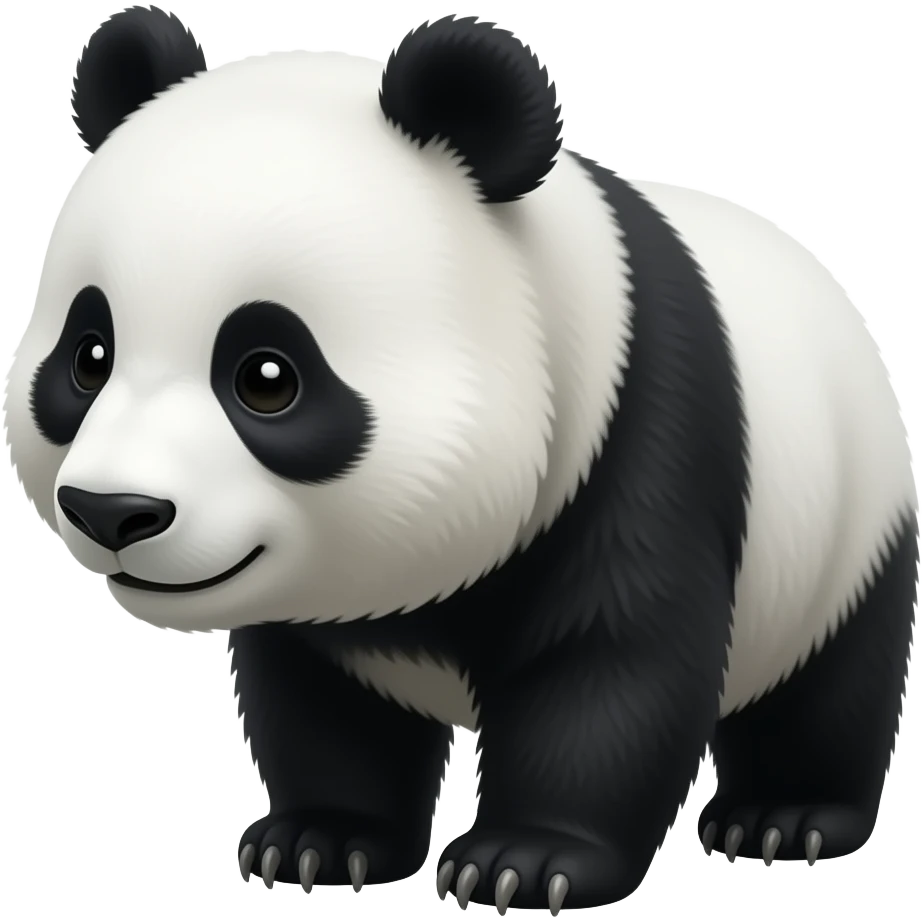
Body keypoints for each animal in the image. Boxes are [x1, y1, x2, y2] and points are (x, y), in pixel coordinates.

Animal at [2, 4, 918, 913]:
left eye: (267, 378)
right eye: (88, 356)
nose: (114, 511)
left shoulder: (639, 442)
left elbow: (609, 665)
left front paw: (528, 861)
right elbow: (322, 705)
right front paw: (320, 841)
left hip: (850, 522)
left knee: (833, 683)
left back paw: (784, 819)